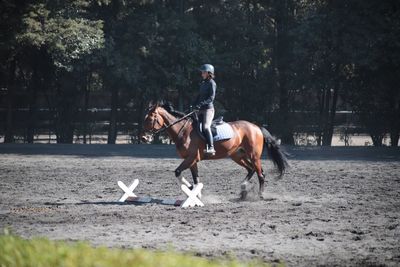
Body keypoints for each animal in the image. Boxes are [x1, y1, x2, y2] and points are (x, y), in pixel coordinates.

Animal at [141, 101, 288, 198]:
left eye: (151, 119)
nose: (143, 138)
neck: (183, 131)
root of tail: (256, 127)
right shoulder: (192, 160)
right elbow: (196, 179)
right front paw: (196, 194)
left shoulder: (191, 158)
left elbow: (178, 172)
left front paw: (191, 189)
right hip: (237, 155)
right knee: (251, 169)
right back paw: (243, 190)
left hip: (254, 156)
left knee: (260, 174)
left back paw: (259, 195)